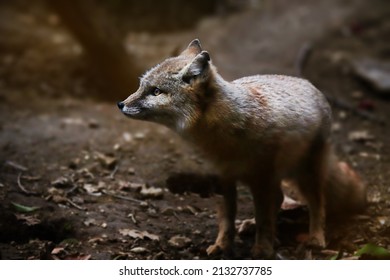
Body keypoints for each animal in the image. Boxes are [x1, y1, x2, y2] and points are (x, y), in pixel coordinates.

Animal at [117, 39, 368, 258]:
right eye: (141, 86)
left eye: (156, 91)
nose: (121, 104)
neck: (222, 135)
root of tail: (310, 85)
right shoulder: (223, 179)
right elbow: (227, 220)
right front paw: (222, 245)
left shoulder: (260, 179)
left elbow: (265, 219)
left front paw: (262, 249)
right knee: (278, 199)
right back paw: (252, 226)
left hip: (305, 174)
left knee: (317, 203)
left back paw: (315, 237)